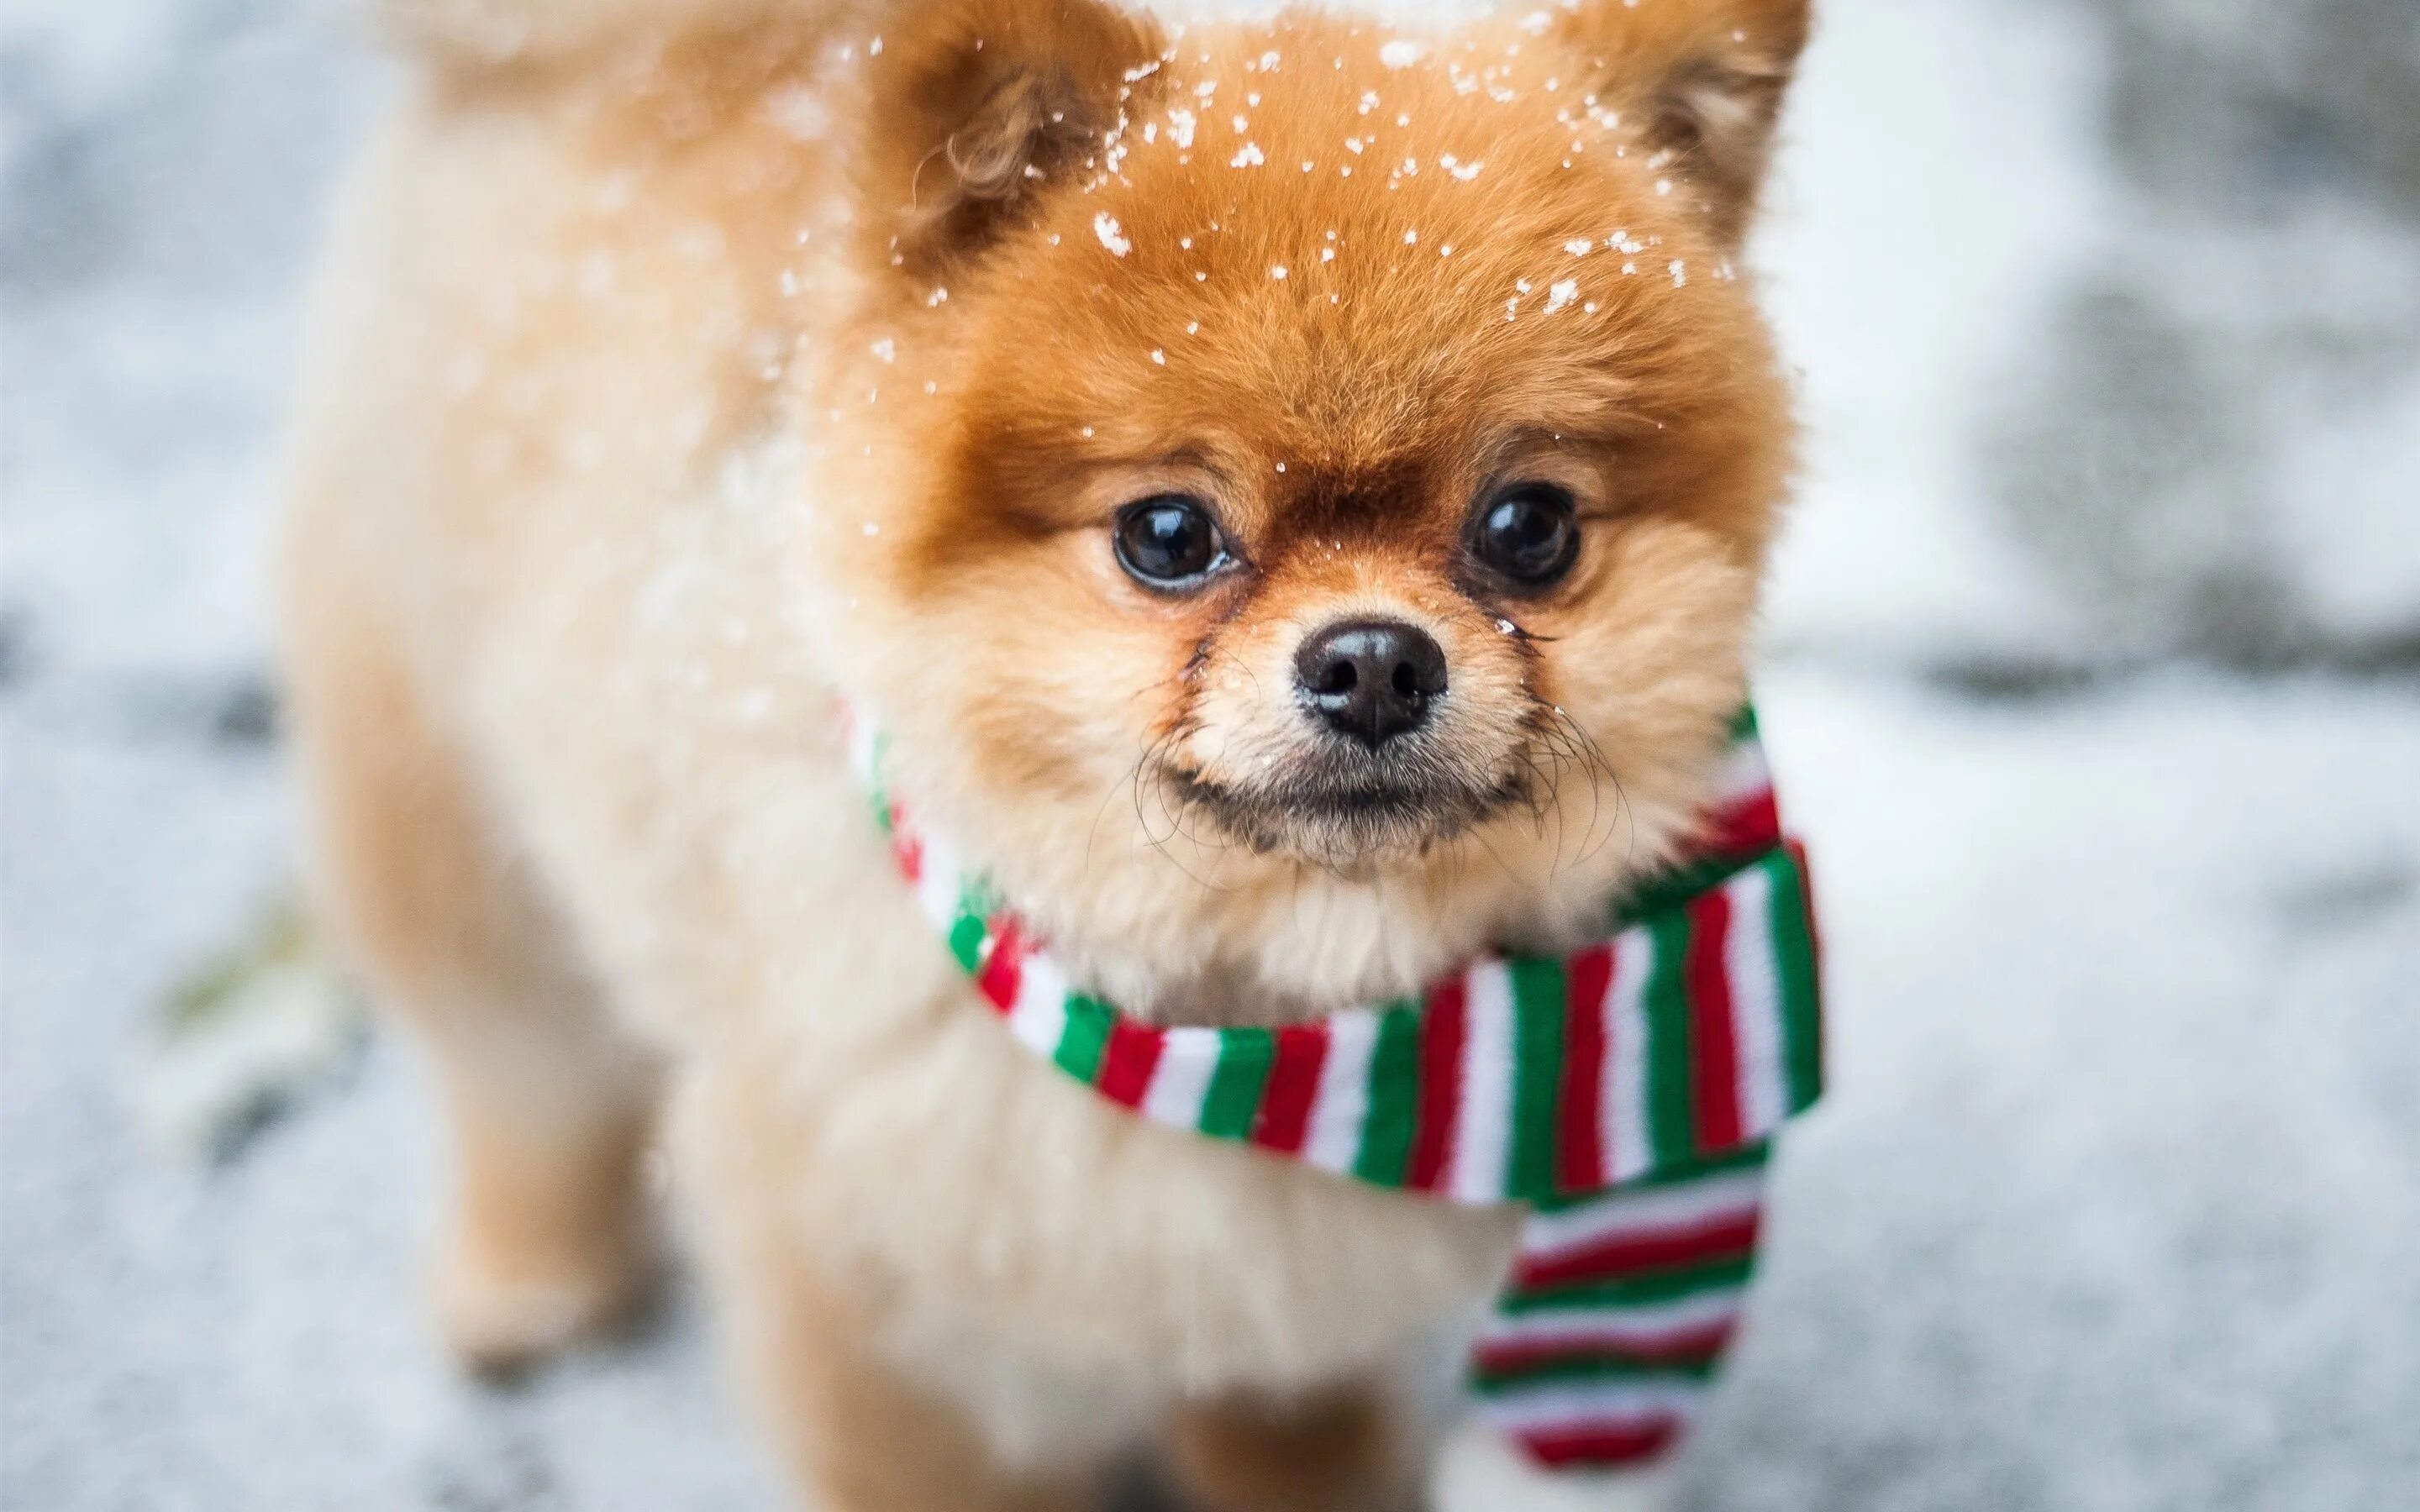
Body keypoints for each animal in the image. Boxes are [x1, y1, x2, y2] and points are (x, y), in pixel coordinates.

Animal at [278, 0, 1800, 1499]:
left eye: (1529, 526)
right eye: (1168, 535)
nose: (1373, 661)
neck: (1247, 1039)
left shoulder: (1275, 1317)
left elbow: (1285, 1426)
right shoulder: (885, 1335)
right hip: (440, 810)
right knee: (518, 1068)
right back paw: (524, 1278)